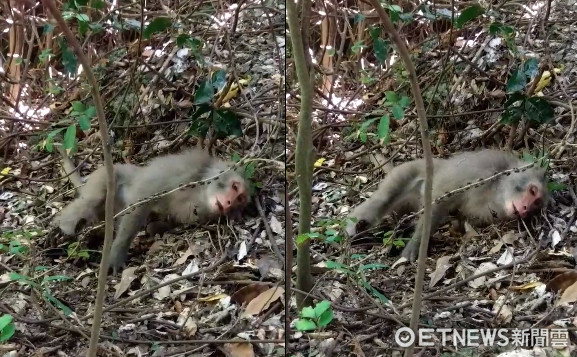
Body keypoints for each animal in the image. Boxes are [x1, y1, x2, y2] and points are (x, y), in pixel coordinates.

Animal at [54, 149, 250, 272]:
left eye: (240, 199)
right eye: (234, 187)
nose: (230, 202)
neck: (200, 192)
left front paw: (157, 227)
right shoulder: (182, 172)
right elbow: (142, 199)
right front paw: (117, 253)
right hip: (105, 177)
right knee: (92, 200)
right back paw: (64, 227)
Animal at [344, 149, 548, 260]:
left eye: (536, 203)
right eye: (532, 191)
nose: (526, 209)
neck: (496, 191)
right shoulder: (480, 172)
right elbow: (440, 199)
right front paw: (416, 245)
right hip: (407, 170)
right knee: (384, 198)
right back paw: (357, 226)